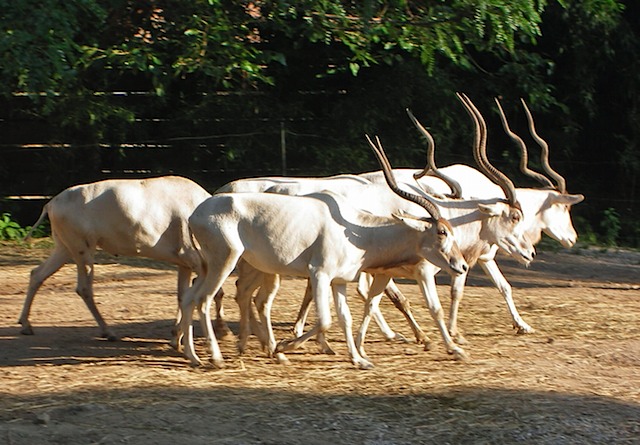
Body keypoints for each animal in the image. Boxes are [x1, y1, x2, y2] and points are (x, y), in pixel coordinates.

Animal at [19, 175, 210, 338]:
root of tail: (51, 204)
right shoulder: (194, 260)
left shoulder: (184, 263)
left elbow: (182, 295)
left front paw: (176, 334)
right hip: (82, 250)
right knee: (84, 288)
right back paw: (108, 332)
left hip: (64, 249)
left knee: (37, 274)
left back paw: (26, 325)